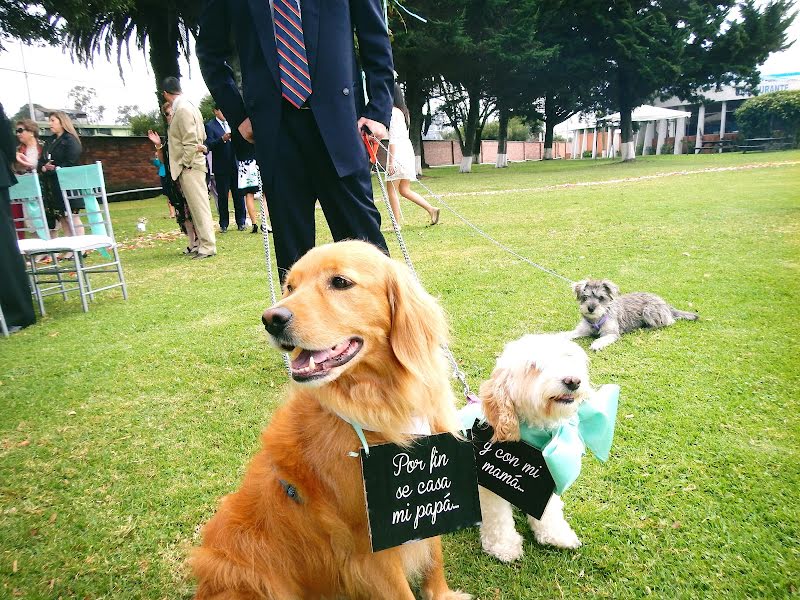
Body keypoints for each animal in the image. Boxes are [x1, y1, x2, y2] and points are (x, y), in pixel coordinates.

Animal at [564, 278, 696, 352]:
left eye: (601, 298)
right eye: (585, 297)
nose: (590, 309)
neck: (596, 319)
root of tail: (666, 304)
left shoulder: (611, 333)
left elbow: (602, 338)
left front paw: (597, 344)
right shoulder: (582, 330)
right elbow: (569, 334)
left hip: (649, 310)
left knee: (668, 322)